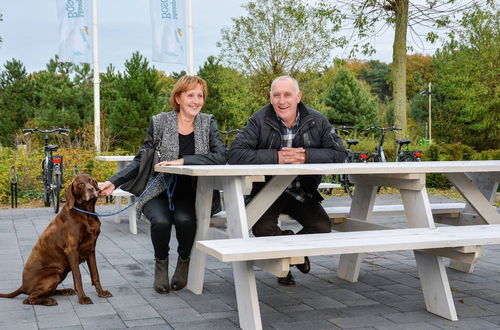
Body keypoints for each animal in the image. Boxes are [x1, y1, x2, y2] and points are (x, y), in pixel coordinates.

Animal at [0, 174, 111, 306]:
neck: (86, 214)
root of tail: (23, 286)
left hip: (61, 273)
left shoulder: (91, 249)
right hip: (54, 274)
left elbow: (95, 274)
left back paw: (65, 291)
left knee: (47, 292)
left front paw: (101, 292)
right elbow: (78, 276)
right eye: (80, 184)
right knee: (29, 299)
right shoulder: (71, 250)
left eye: (91, 181)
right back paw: (48, 301)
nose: (91, 189)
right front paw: (83, 298)